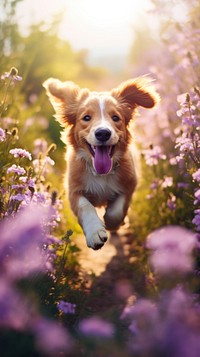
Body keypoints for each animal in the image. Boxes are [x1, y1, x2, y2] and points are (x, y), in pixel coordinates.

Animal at [43, 77, 159, 250]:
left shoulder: (129, 185)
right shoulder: (74, 191)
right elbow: (86, 207)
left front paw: (112, 223)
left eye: (115, 118)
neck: (100, 173)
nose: (103, 133)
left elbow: (116, 211)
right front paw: (95, 233)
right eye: (86, 118)